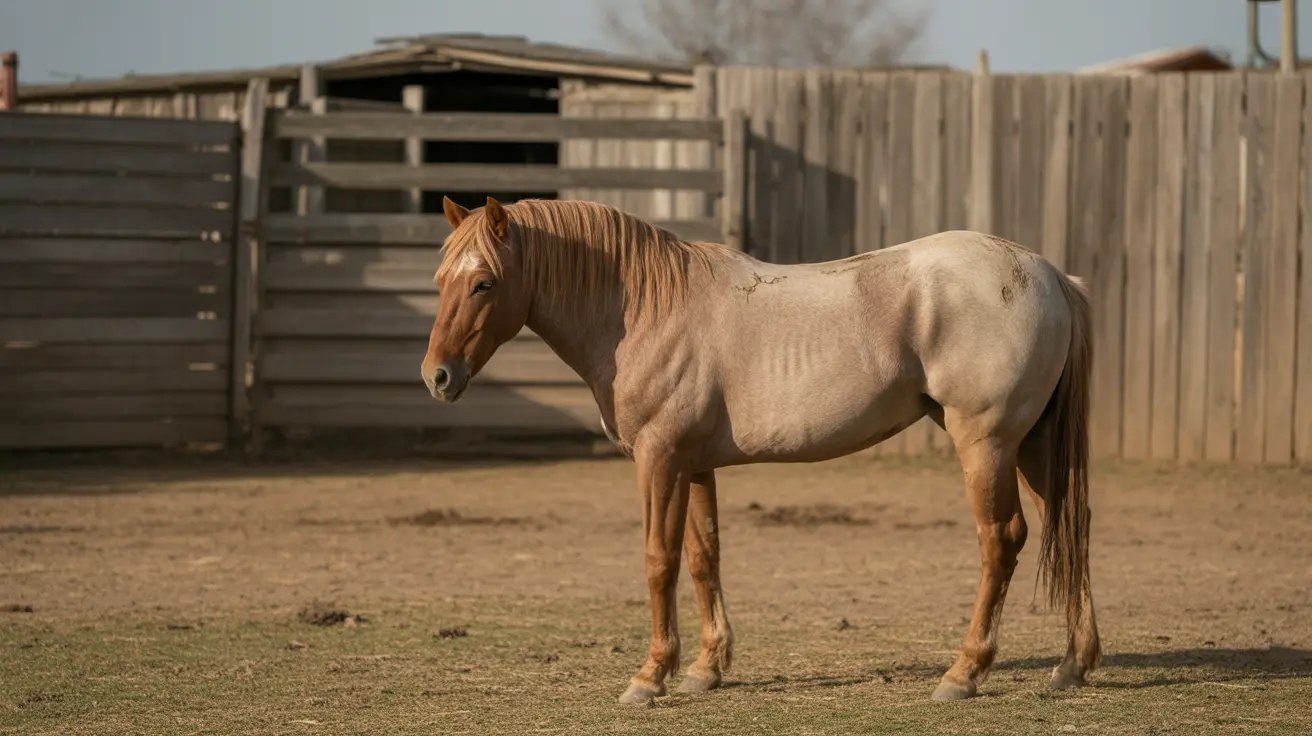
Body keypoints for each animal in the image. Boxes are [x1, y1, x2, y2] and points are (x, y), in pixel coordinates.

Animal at [422, 195, 1100, 705]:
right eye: (440, 280)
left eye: (483, 283)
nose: (437, 377)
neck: (646, 309)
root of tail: (1050, 275)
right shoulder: (695, 465)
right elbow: (704, 557)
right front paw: (705, 669)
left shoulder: (659, 460)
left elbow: (659, 560)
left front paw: (650, 676)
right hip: (1032, 445)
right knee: (1069, 524)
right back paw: (1073, 663)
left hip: (986, 444)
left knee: (1001, 540)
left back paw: (964, 673)